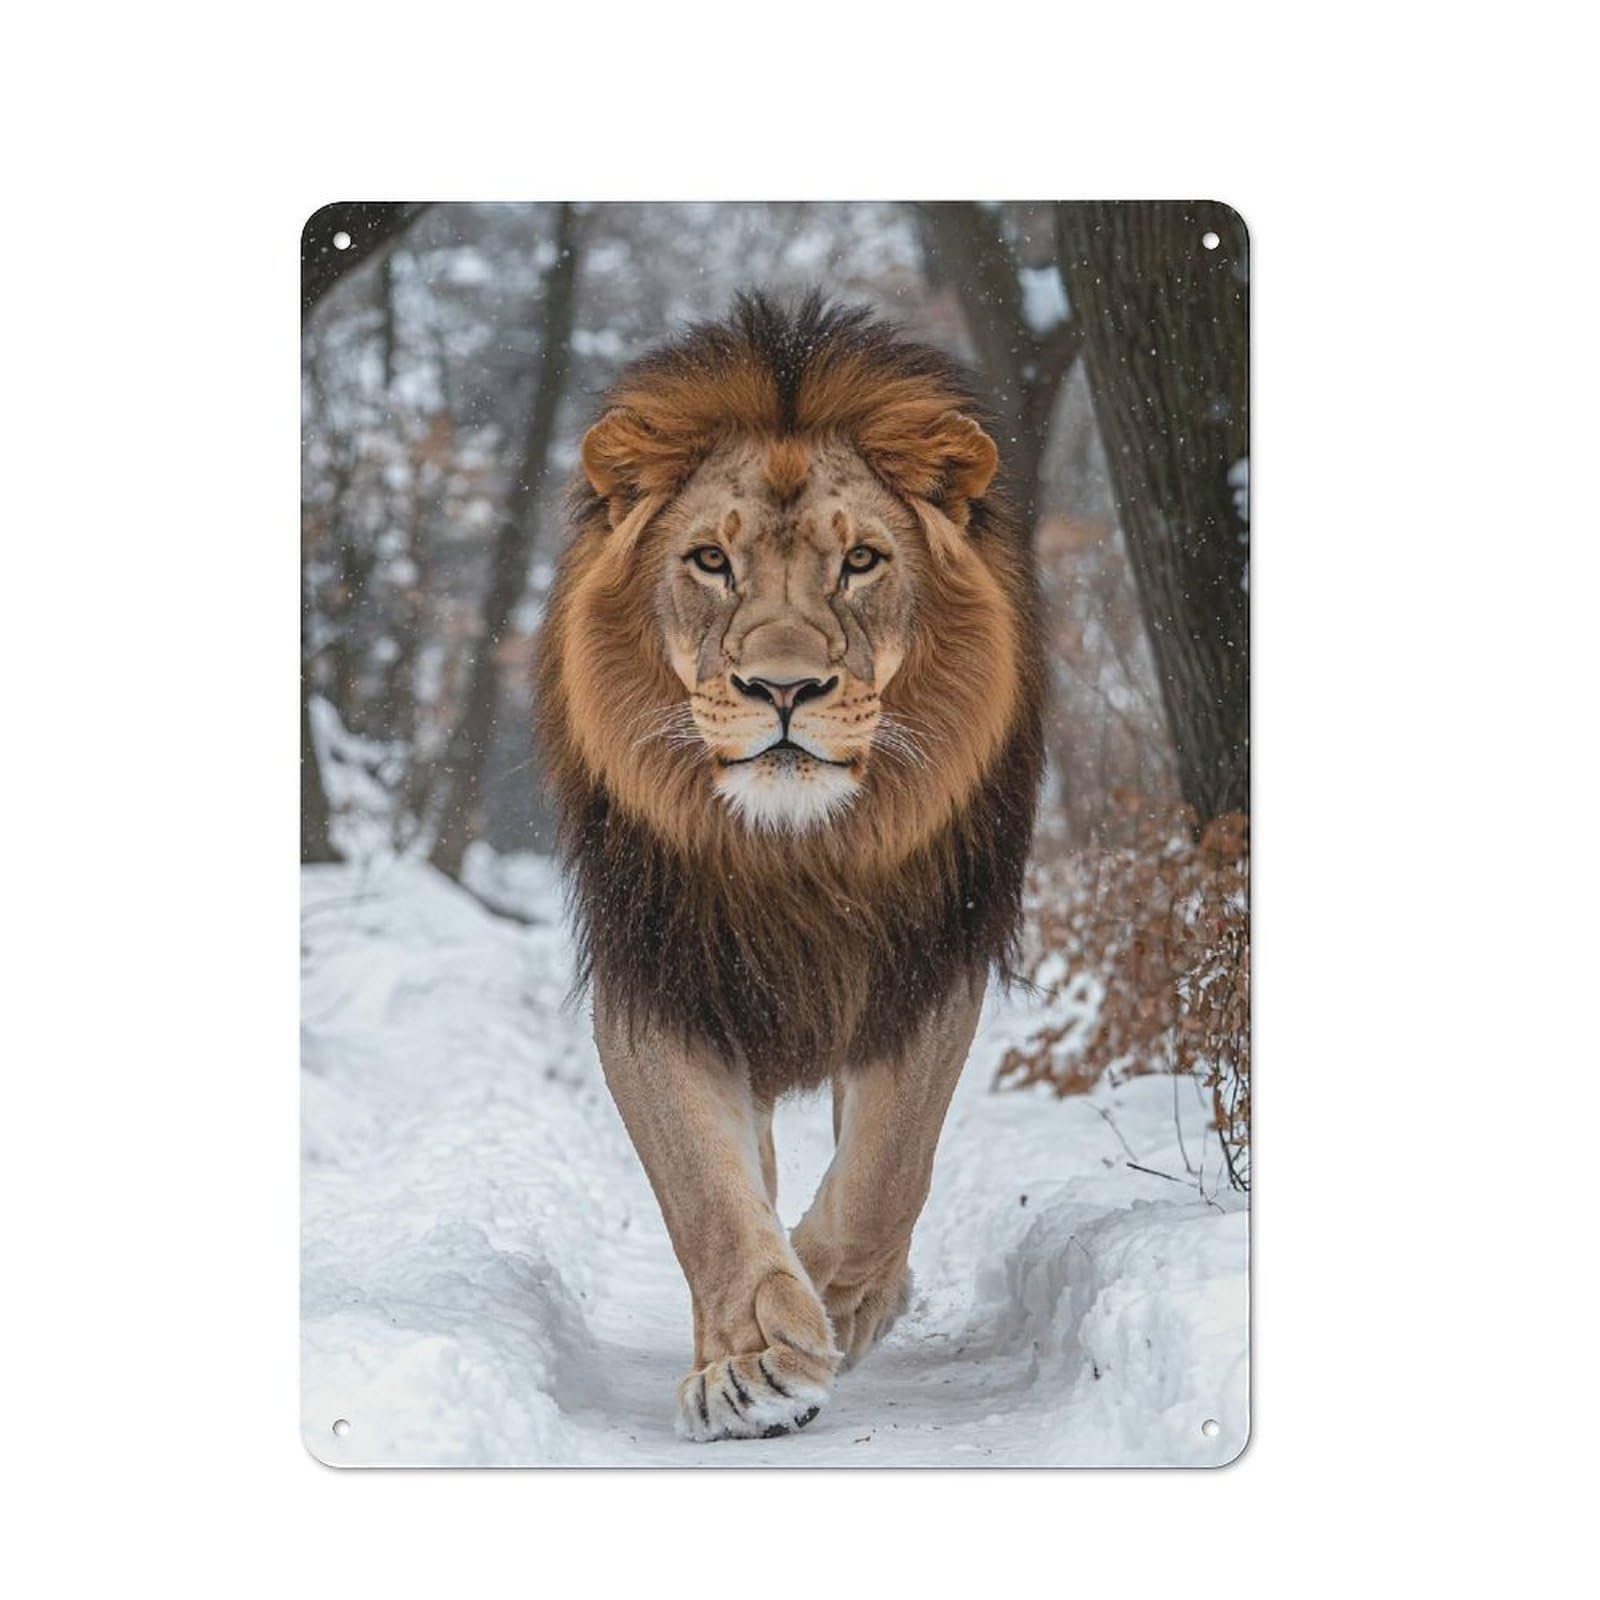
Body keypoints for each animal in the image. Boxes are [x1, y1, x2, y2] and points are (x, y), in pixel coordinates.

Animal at [536, 293, 1043, 1441]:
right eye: (709, 563)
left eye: (859, 563)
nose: (782, 688)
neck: (792, 854)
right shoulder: (660, 981)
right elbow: (706, 1191)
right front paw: (751, 1360)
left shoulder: (926, 967)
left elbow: (886, 1171)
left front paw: (835, 1298)